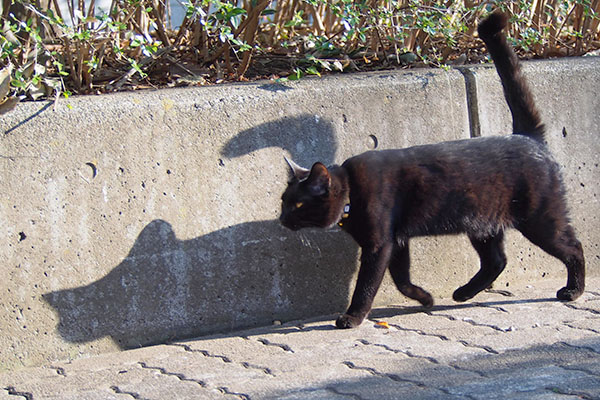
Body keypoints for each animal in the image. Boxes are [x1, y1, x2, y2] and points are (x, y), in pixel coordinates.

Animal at [278, 10, 584, 328]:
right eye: (283, 202)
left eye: (298, 204)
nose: (281, 219)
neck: (352, 191)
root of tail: (528, 136)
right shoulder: (397, 241)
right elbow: (401, 280)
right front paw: (425, 299)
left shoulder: (379, 245)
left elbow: (367, 285)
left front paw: (353, 317)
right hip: (482, 224)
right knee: (496, 260)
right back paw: (463, 293)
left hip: (540, 219)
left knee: (573, 247)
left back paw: (572, 291)